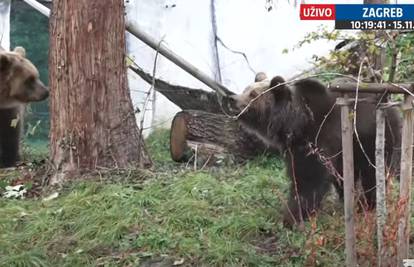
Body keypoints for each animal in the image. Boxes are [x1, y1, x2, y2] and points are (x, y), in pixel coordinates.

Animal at [231, 75, 400, 228]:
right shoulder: (294, 148)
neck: (297, 124)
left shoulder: (318, 138)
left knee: (372, 173)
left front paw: (292, 217)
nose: (233, 100)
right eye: (245, 89)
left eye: (253, 94)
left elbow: (308, 179)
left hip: (373, 138)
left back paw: (367, 204)